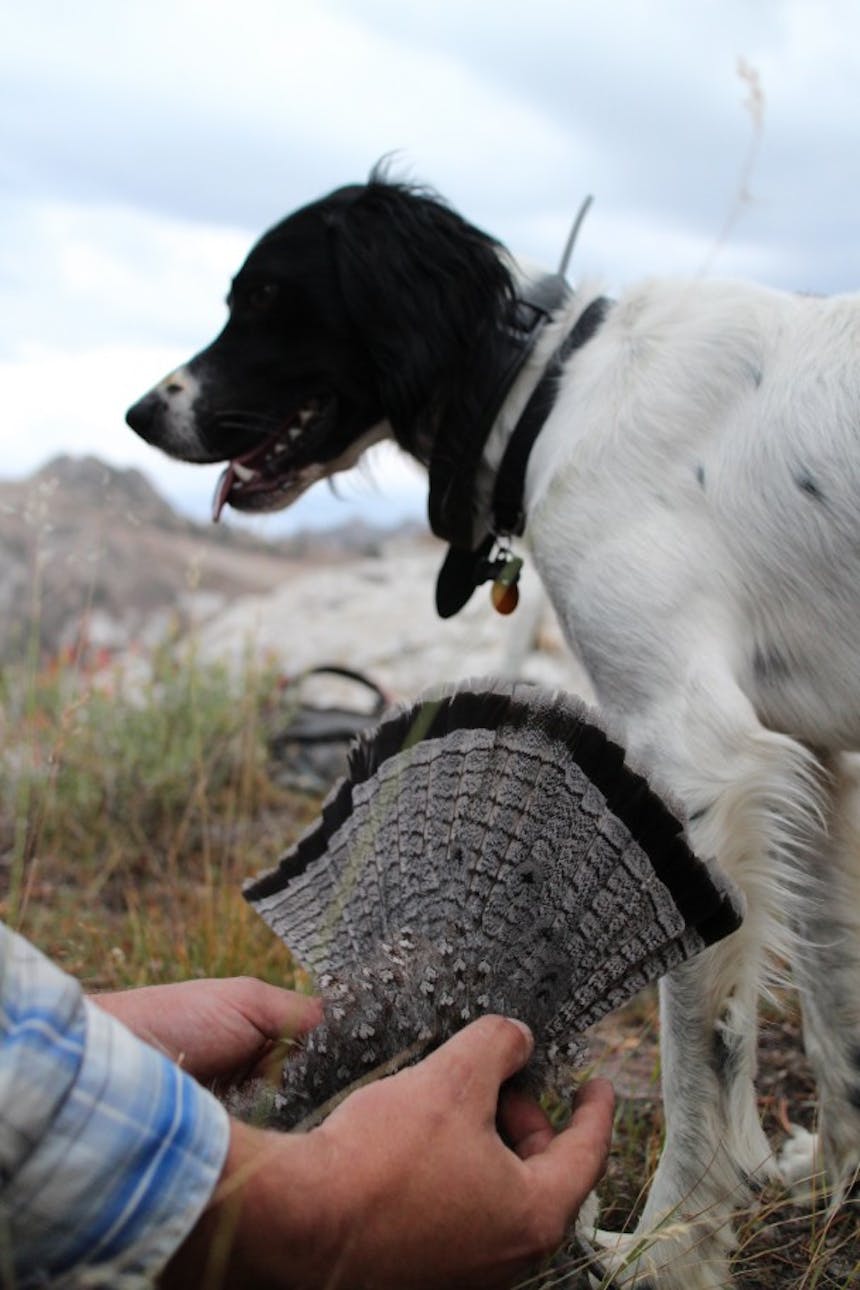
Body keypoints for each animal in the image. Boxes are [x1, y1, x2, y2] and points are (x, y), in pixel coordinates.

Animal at [126, 174, 860, 1290]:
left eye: (263, 299)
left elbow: (700, 1059)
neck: (560, 389)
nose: (139, 412)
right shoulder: (812, 765)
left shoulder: (697, 757)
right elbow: (832, 992)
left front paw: (665, 1248)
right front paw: (831, 1175)